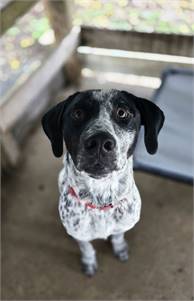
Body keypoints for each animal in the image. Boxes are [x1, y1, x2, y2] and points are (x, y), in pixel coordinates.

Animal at [41, 88, 164, 276]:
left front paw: (120, 248)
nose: (99, 141)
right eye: (77, 113)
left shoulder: (122, 225)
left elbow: (118, 236)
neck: (100, 202)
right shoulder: (80, 234)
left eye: (122, 112)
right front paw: (89, 261)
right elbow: (86, 248)